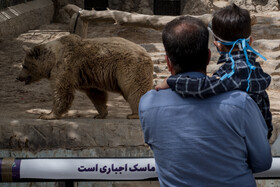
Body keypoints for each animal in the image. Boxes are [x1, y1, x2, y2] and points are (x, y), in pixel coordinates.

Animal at [17, 34, 153, 120]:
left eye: (24, 65)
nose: (18, 77)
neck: (52, 59)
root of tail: (146, 52)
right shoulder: (87, 76)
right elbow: (96, 94)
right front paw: (100, 113)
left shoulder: (65, 66)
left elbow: (61, 90)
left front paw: (47, 115)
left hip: (129, 67)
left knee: (135, 89)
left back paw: (133, 114)